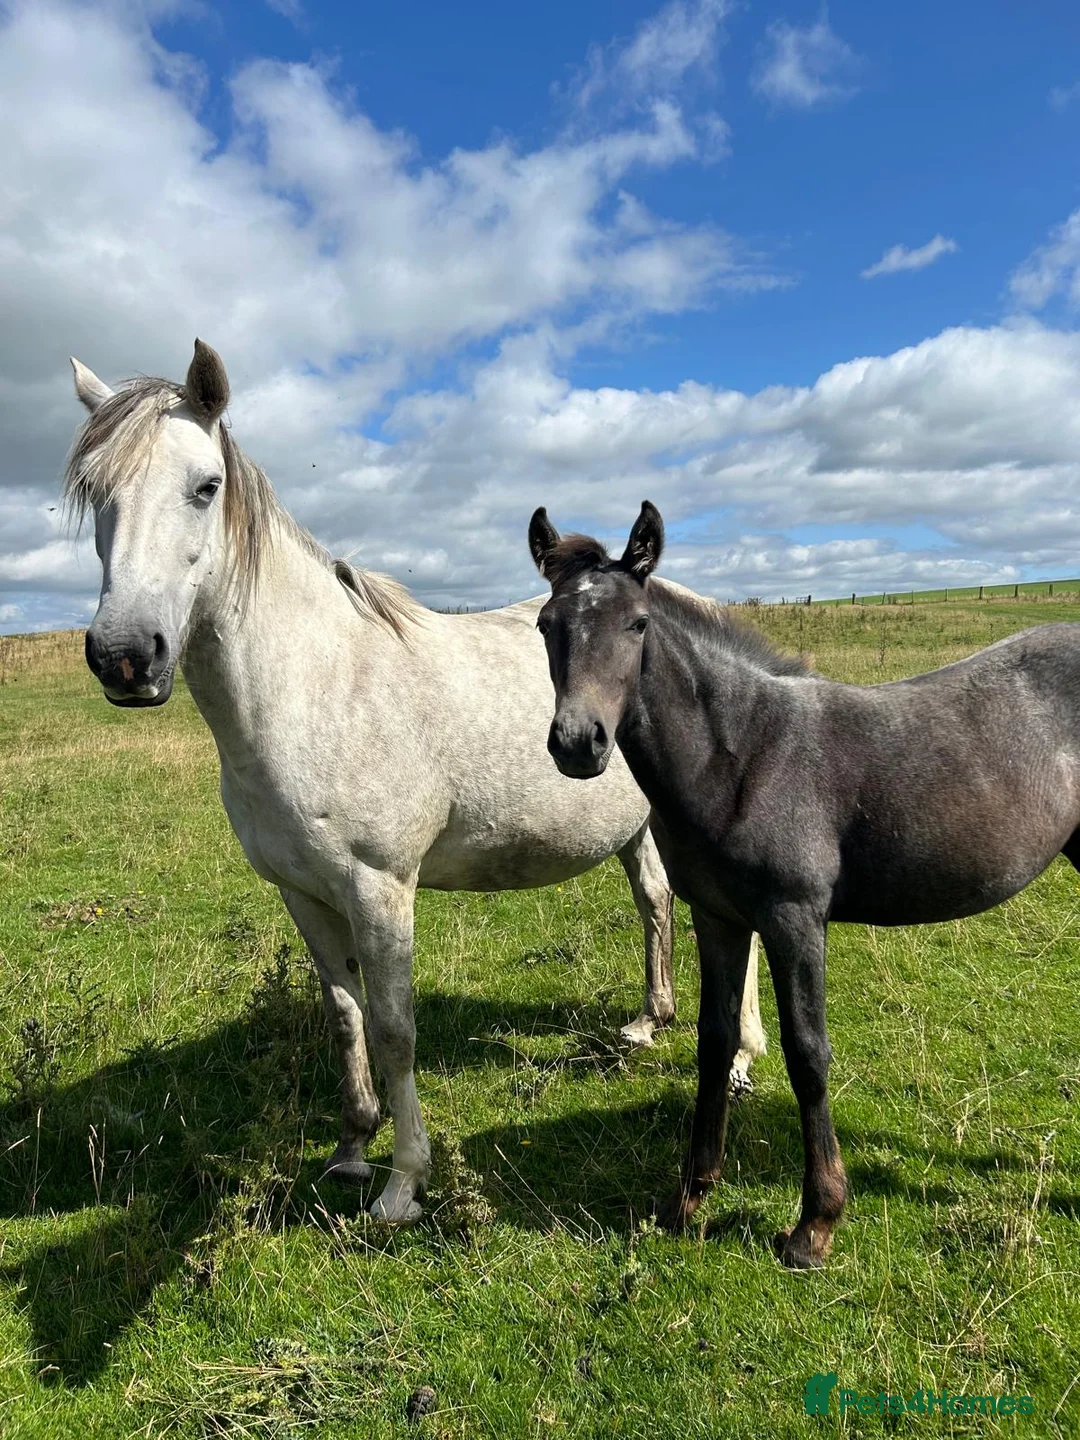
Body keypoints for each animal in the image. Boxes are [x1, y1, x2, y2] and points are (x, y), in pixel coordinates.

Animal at [64, 341, 766, 1226]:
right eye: (94, 493)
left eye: (206, 486)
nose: (126, 657)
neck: (318, 685)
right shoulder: (303, 893)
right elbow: (345, 1018)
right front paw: (352, 1148)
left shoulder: (381, 888)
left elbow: (395, 1028)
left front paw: (402, 1184)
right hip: (641, 831)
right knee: (656, 904)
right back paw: (648, 1022)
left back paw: (740, 1062)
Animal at [528, 499, 1080, 1267]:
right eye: (547, 624)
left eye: (636, 624)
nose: (579, 744)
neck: (744, 755)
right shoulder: (718, 917)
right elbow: (715, 1041)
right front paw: (688, 1199)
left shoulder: (793, 918)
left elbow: (808, 1054)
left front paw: (815, 1225)